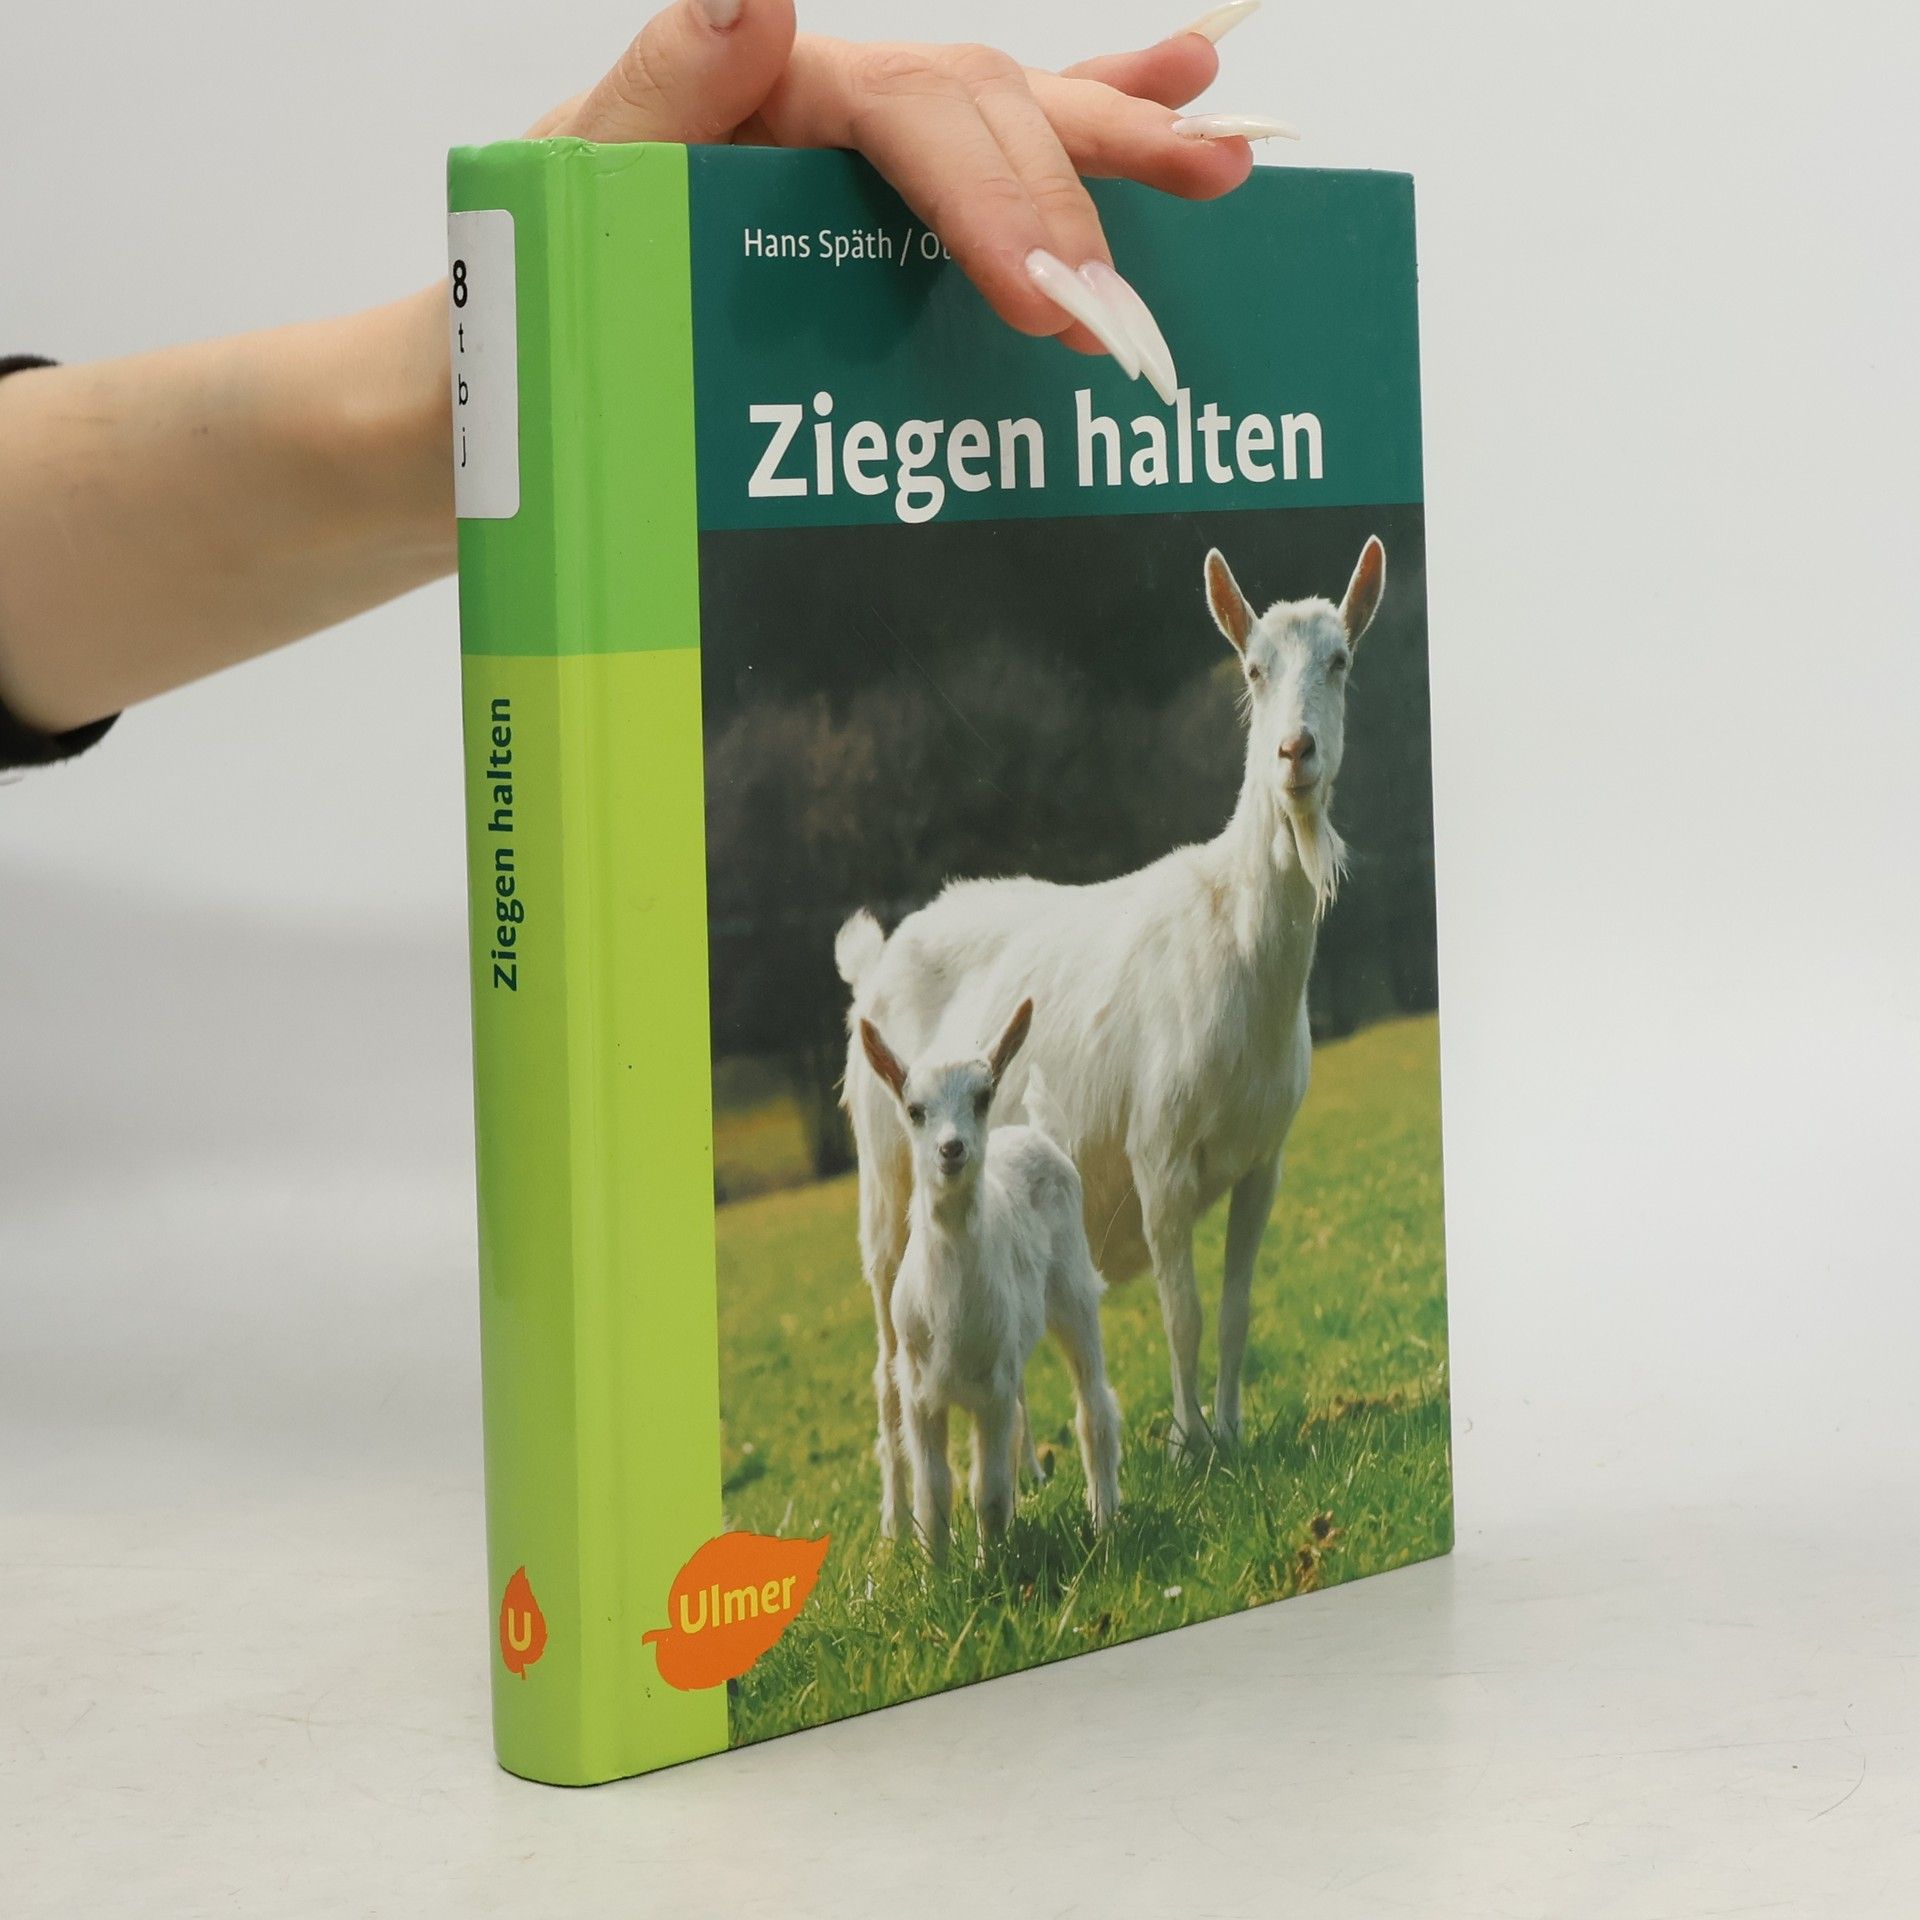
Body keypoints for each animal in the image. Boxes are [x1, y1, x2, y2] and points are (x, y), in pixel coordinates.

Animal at [839, 537, 1386, 1490]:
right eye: (1252, 668)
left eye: (1340, 661)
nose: (1295, 751)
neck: (1239, 947)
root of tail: (873, 958)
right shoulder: (1156, 1152)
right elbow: (1184, 1311)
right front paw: (1189, 1446)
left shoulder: (1265, 1158)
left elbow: (1237, 1308)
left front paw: (1232, 1431)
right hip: (884, 1172)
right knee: (884, 1353)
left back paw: (1025, 1471)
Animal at [856, 999, 1123, 1562]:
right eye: (915, 1110)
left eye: (982, 1098)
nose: (951, 1148)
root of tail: (1038, 1133)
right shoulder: (919, 1390)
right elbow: (933, 1490)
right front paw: (938, 1573)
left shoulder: (991, 1388)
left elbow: (990, 1489)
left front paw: (993, 1565)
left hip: (1075, 1293)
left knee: (1094, 1408)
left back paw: (1105, 1519)